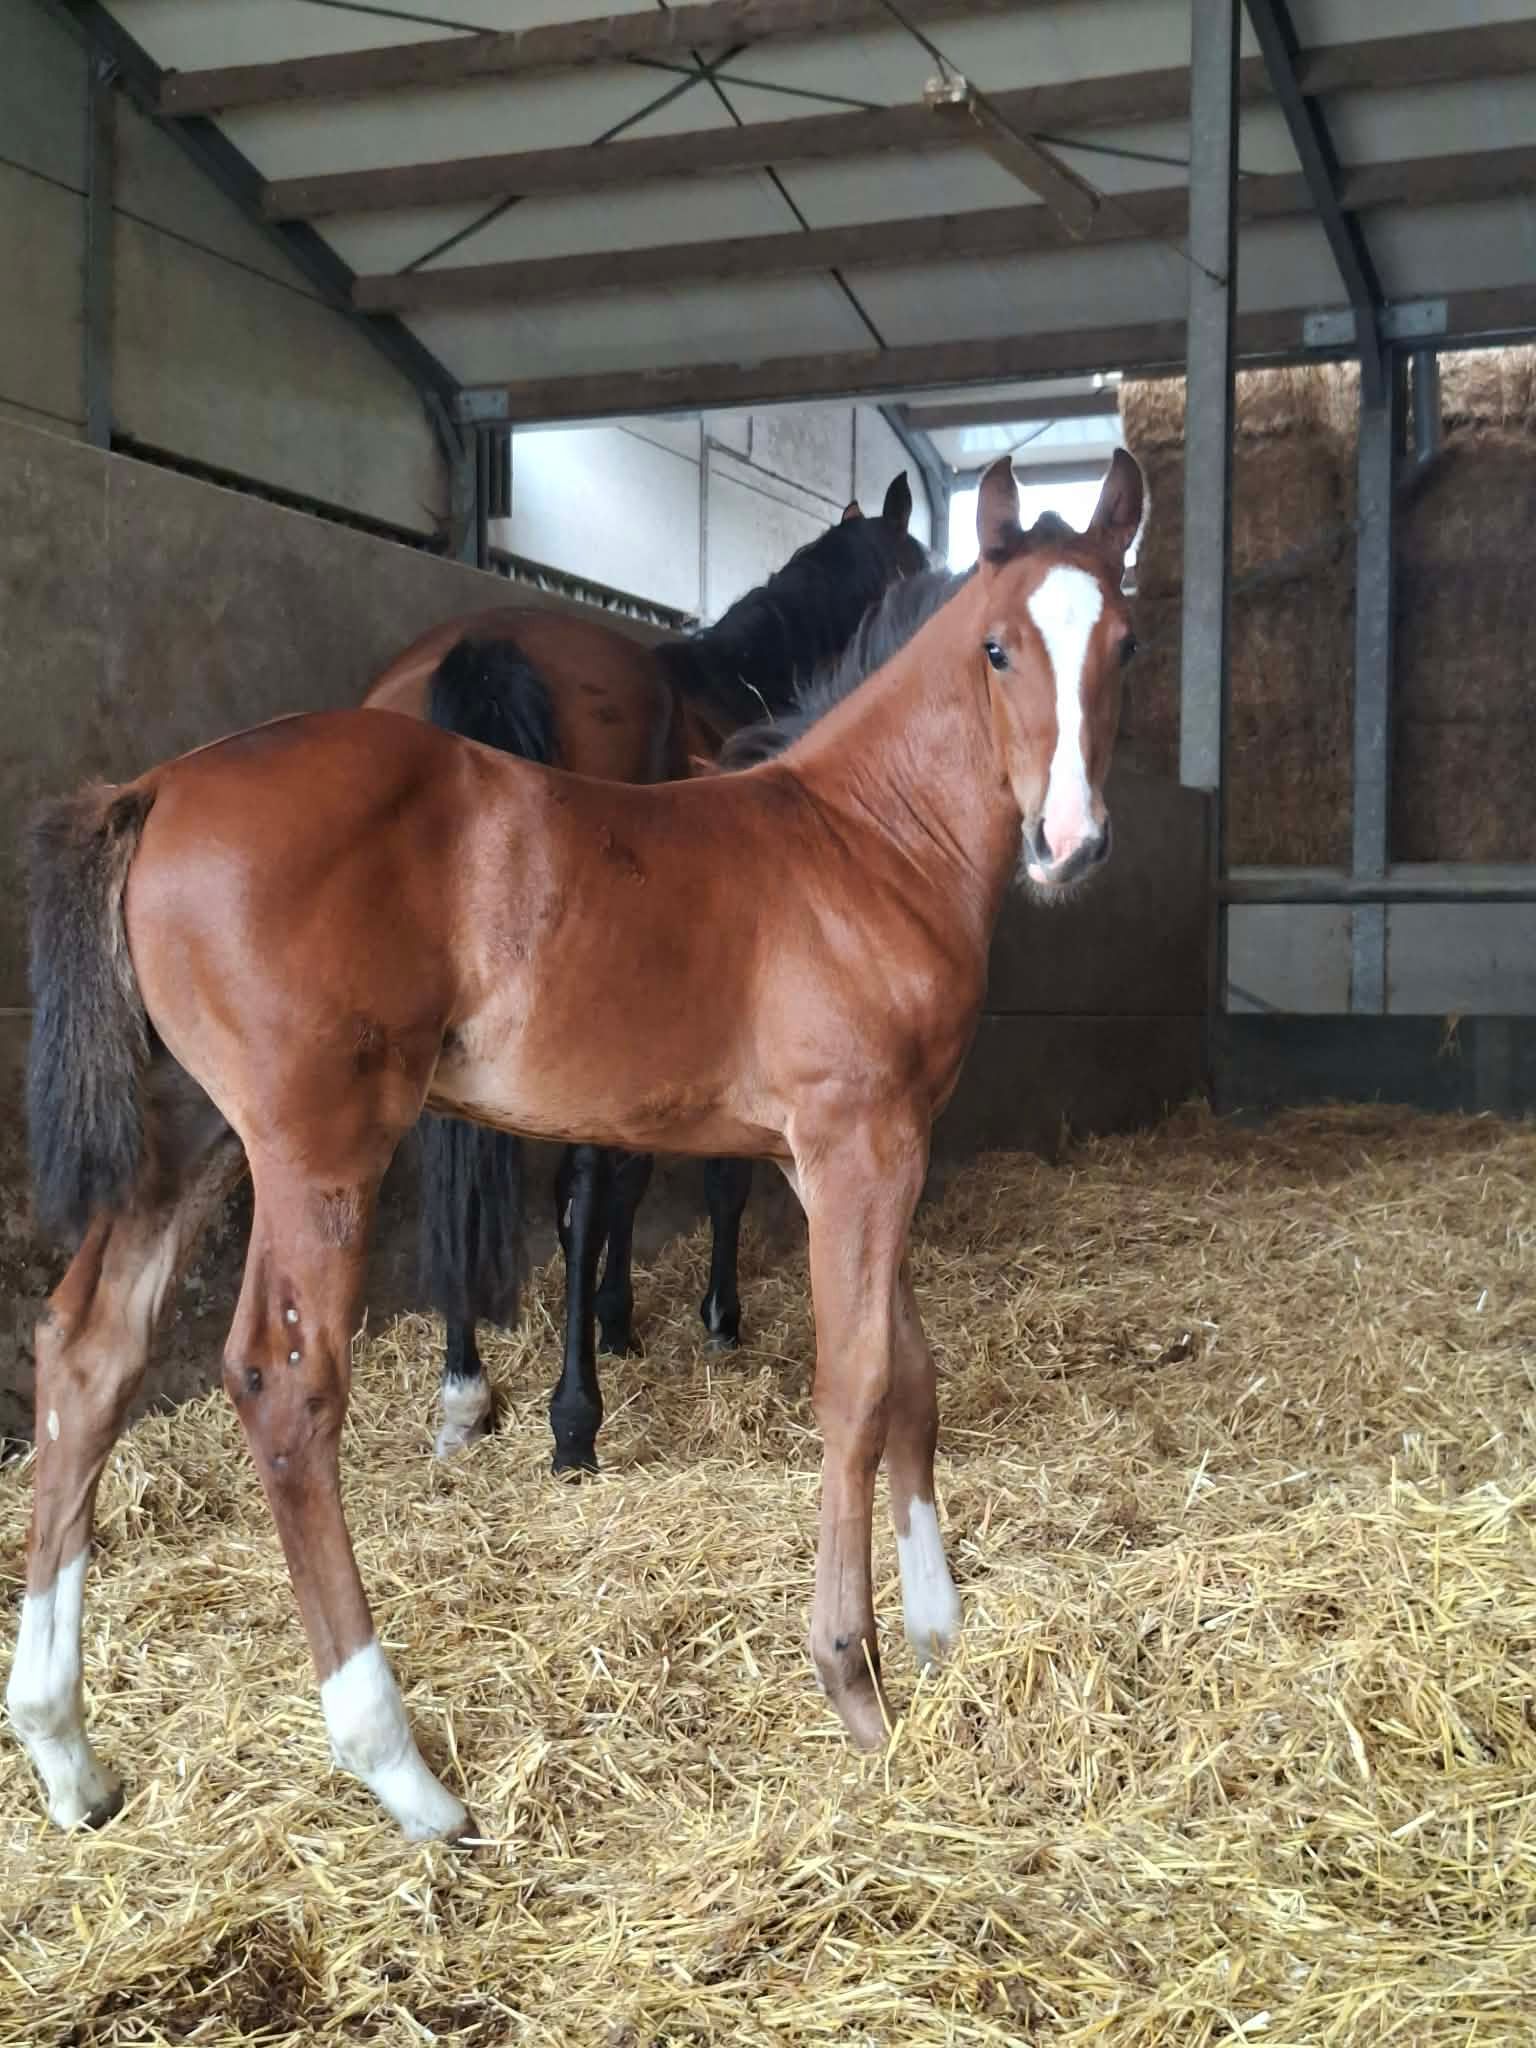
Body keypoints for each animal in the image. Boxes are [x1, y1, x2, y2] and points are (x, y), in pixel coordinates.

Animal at [363, 476, 929, 1468]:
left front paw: (616, 1317)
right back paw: (571, 1418)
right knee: (580, 1182)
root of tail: (485, 650)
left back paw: (464, 1388)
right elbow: (685, 1177)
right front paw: (703, 1319)